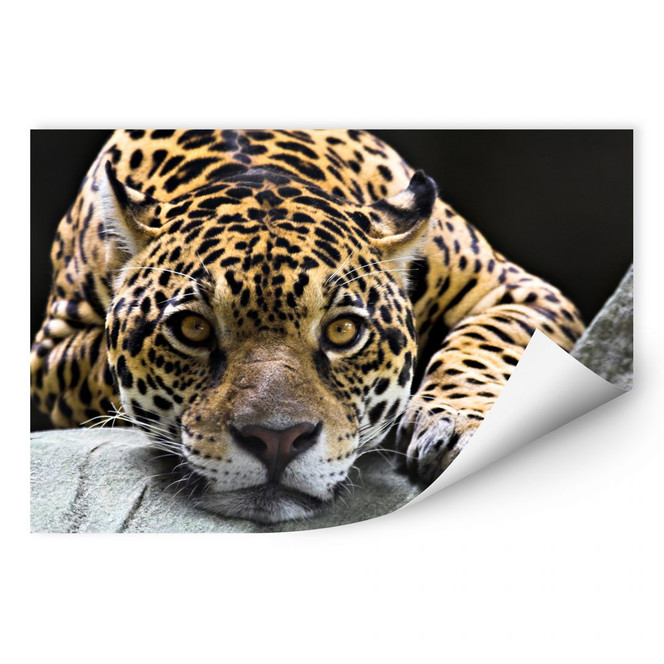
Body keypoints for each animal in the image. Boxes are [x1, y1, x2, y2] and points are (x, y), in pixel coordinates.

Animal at [30, 130, 585, 523]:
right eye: (192, 330)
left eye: (343, 332)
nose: (277, 441)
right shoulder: (50, 355)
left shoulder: (514, 289)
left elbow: (485, 344)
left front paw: (456, 426)